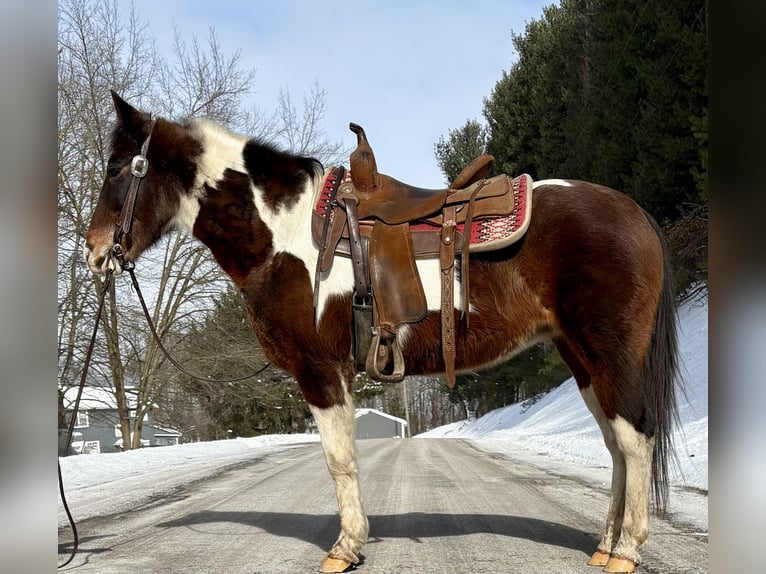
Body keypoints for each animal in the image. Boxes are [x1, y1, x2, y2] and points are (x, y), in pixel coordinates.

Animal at [83, 91, 680, 574]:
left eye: (117, 168)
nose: (94, 252)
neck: (284, 234)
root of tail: (635, 213)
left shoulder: (321, 372)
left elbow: (339, 460)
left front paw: (346, 548)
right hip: (582, 360)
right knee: (617, 445)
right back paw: (605, 546)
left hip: (609, 354)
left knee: (635, 437)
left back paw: (626, 550)